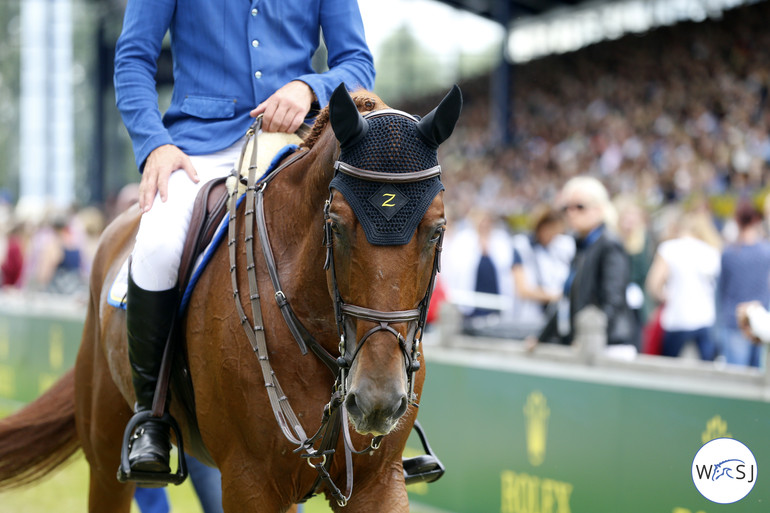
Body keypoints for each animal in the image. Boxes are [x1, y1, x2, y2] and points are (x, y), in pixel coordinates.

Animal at [0, 86, 460, 510]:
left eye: (437, 229)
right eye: (336, 224)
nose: (376, 402)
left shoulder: (378, 483)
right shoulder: (249, 481)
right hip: (105, 448)